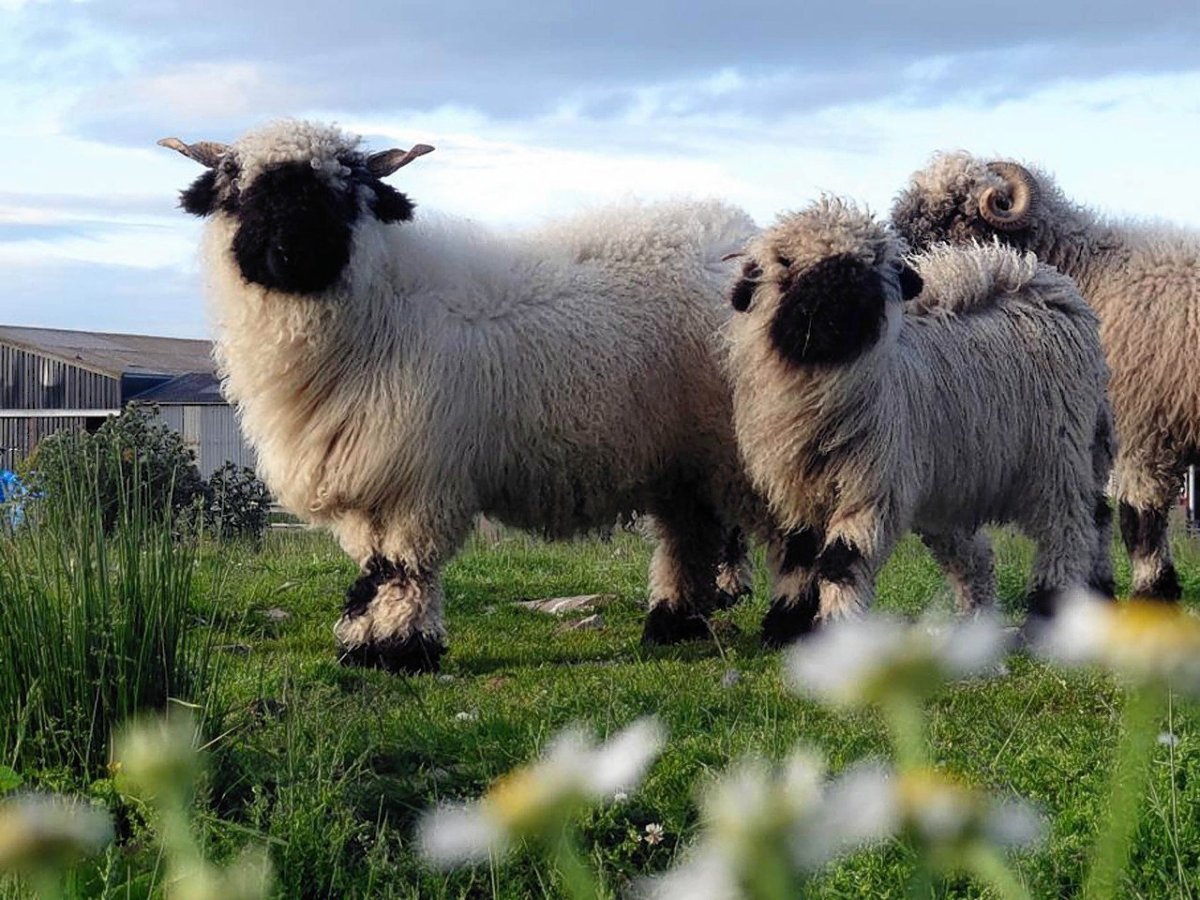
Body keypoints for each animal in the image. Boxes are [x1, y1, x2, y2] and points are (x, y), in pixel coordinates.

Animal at [159, 119, 771, 673]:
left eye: (342, 193)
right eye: (239, 190)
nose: (291, 252)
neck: (384, 310)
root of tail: (740, 234)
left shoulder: (418, 478)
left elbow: (403, 566)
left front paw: (404, 650)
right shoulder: (365, 475)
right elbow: (373, 567)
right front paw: (363, 646)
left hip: (736, 443)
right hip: (683, 454)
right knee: (690, 535)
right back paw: (674, 625)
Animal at [725, 197, 1113, 644]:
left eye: (872, 262)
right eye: (785, 262)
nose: (839, 295)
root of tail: (1035, 279)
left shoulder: (871, 486)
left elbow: (842, 560)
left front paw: (837, 631)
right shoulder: (796, 491)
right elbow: (799, 556)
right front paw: (787, 626)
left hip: (1059, 455)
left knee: (1069, 532)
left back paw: (1049, 615)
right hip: (954, 480)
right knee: (982, 554)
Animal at [891, 153, 1200, 601]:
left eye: (953, 212)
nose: (904, 269)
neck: (1086, 271)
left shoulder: (1143, 431)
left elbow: (1138, 518)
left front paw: (1152, 593)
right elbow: (1098, 514)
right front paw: (1100, 589)